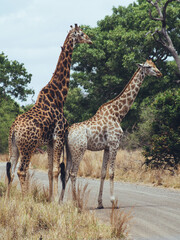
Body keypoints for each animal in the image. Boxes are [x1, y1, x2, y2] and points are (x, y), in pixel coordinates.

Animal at [5, 24, 92, 201]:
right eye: (81, 34)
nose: (90, 40)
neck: (60, 96)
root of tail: (14, 129)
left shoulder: (50, 141)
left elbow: (50, 170)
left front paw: (50, 198)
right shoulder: (59, 136)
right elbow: (56, 170)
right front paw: (55, 200)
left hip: (14, 146)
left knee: (11, 170)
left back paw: (8, 199)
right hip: (28, 146)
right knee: (22, 170)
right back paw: (26, 199)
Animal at [59, 59, 162, 208]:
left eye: (154, 65)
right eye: (148, 67)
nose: (159, 73)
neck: (118, 114)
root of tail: (67, 132)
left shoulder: (106, 147)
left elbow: (103, 173)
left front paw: (100, 203)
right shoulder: (114, 144)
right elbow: (112, 172)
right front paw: (113, 201)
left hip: (69, 150)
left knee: (66, 173)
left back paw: (60, 201)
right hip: (79, 149)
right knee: (73, 173)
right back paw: (76, 202)